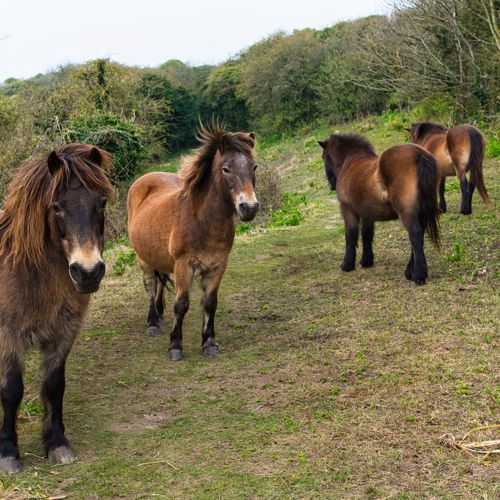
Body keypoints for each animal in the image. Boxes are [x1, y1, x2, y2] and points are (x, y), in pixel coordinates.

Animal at [0, 144, 113, 472]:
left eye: (101, 202)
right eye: (57, 207)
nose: (88, 273)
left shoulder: (63, 333)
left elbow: (54, 385)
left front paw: (57, 443)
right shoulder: (9, 337)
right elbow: (11, 391)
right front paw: (8, 452)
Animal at [129, 124, 260, 360]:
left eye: (253, 167)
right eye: (226, 169)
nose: (249, 208)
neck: (202, 221)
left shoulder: (218, 266)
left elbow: (210, 304)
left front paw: (209, 343)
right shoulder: (184, 266)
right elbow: (181, 304)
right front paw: (175, 346)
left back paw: (159, 317)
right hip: (142, 258)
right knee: (150, 285)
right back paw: (152, 323)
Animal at [318, 134, 440, 286]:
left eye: (324, 156)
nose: (330, 185)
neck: (350, 161)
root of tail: (420, 155)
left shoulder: (347, 210)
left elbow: (350, 235)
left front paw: (346, 265)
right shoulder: (367, 214)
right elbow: (367, 235)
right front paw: (366, 261)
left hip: (407, 212)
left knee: (415, 235)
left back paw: (418, 276)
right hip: (421, 213)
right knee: (419, 236)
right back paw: (410, 272)